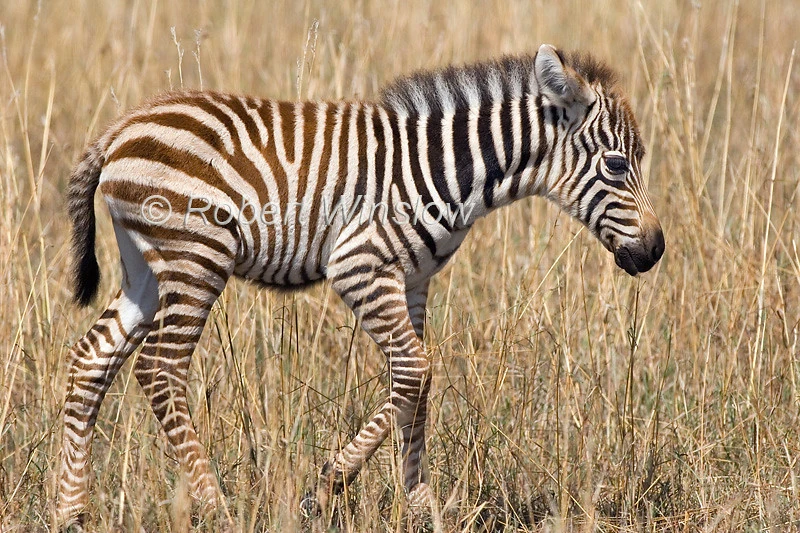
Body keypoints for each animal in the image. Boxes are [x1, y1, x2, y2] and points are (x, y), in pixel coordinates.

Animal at [56, 44, 664, 529]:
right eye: (616, 164)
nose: (656, 250)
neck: (449, 170)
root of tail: (121, 127)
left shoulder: (414, 281)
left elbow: (416, 381)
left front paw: (421, 506)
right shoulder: (359, 265)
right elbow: (416, 370)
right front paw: (325, 488)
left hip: (146, 267)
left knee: (92, 359)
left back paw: (70, 512)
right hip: (195, 258)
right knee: (159, 370)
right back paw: (215, 507)